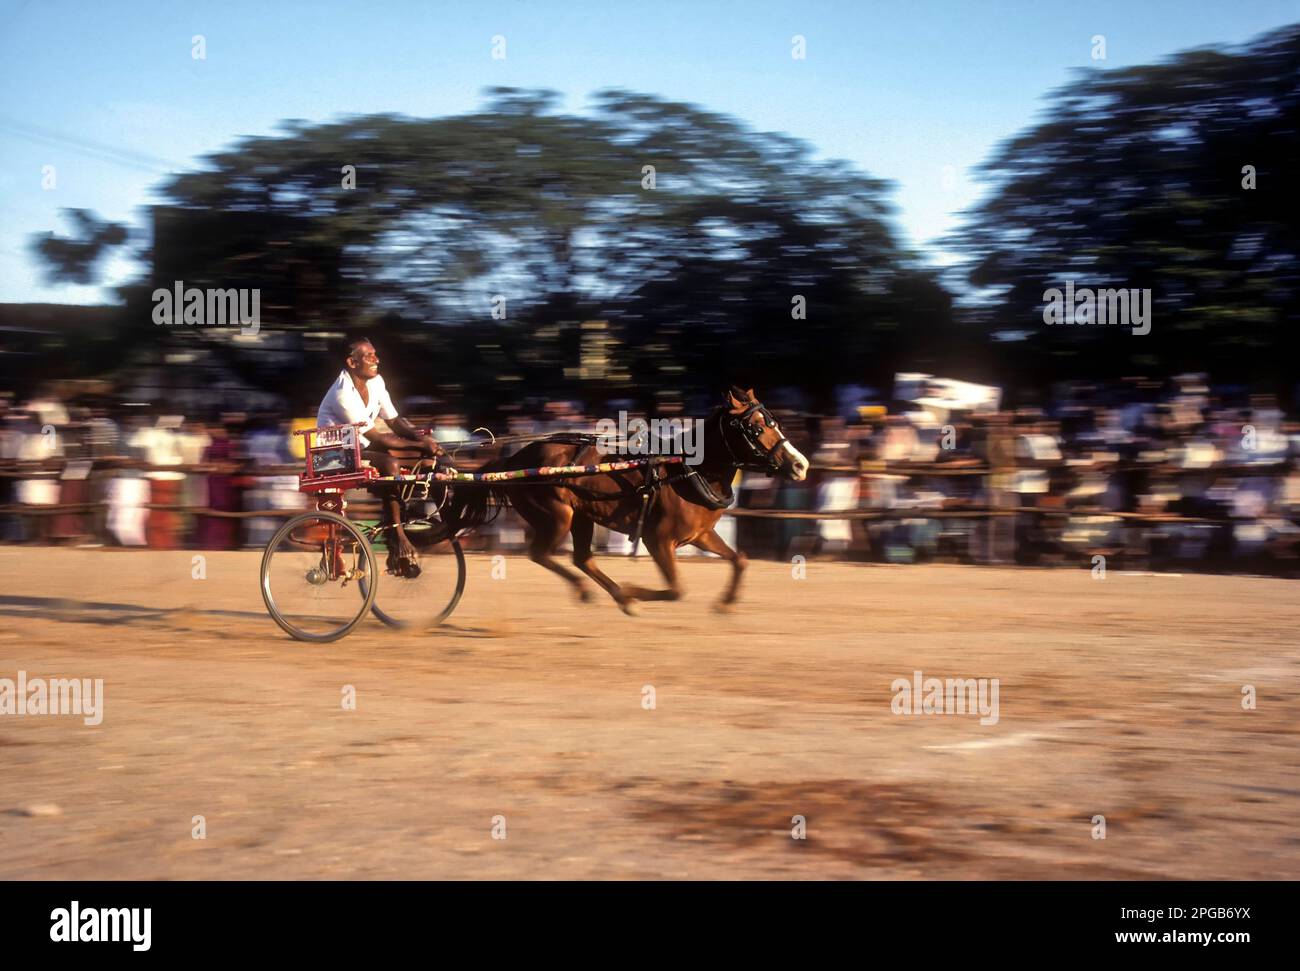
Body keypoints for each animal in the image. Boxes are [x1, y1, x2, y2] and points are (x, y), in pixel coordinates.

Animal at [447, 389, 811, 610]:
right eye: (755, 427)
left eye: (775, 422)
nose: (800, 465)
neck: (686, 469)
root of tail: (513, 460)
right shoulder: (657, 539)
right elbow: (677, 589)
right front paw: (634, 589)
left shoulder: (700, 534)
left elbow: (740, 560)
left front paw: (725, 602)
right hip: (556, 515)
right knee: (541, 553)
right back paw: (599, 592)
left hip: (581, 516)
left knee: (583, 558)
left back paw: (618, 596)